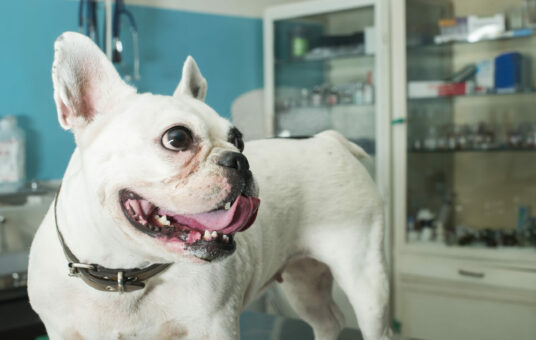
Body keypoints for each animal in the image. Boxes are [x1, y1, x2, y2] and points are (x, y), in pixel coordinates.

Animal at [28, 32, 390, 340]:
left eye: (239, 139)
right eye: (177, 138)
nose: (239, 160)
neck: (125, 271)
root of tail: (326, 140)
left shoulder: (215, 326)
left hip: (366, 283)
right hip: (304, 282)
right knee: (327, 321)